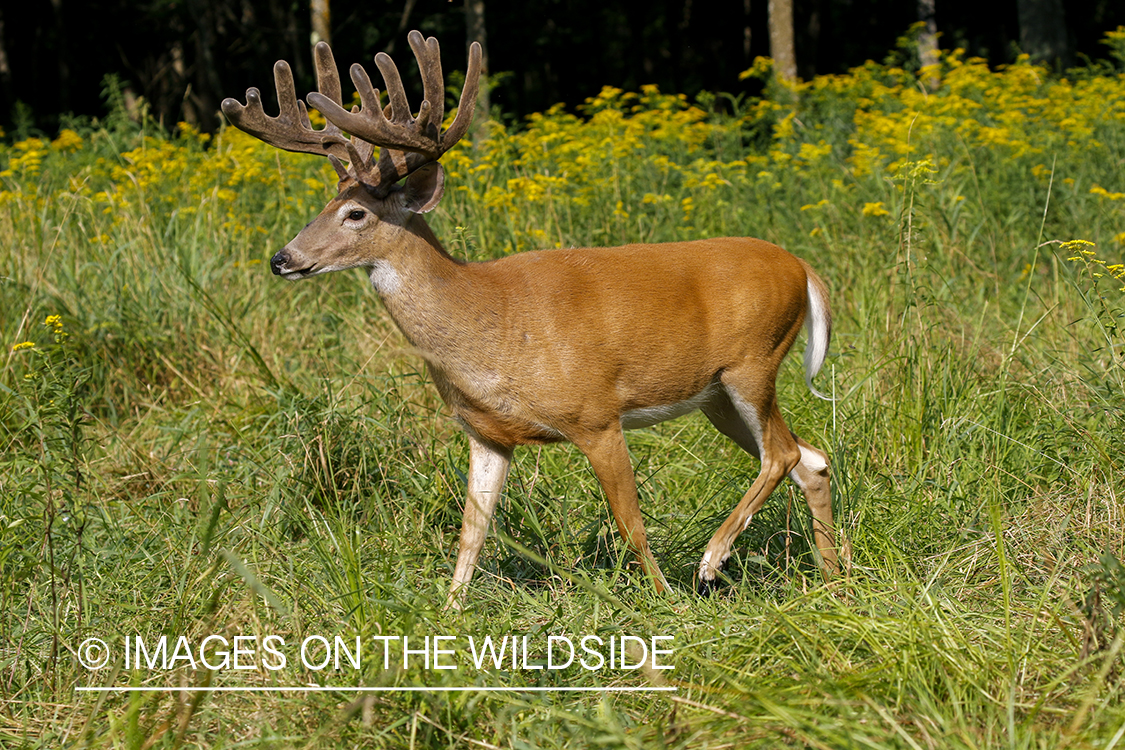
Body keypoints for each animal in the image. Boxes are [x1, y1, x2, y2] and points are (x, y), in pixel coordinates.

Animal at [223, 30, 846, 611]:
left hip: (753, 362)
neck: (486, 322)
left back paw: (712, 561)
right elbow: (471, 533)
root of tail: (803, 268)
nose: (282, 259)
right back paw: (833, 580)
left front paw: (666, 600)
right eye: (322, 208)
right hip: (716, 396)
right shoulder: (486, 434)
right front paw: (449, 613)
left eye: (356, 214)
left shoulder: (596, 415)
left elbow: (631, 522)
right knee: (811, 458)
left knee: (784, 454)